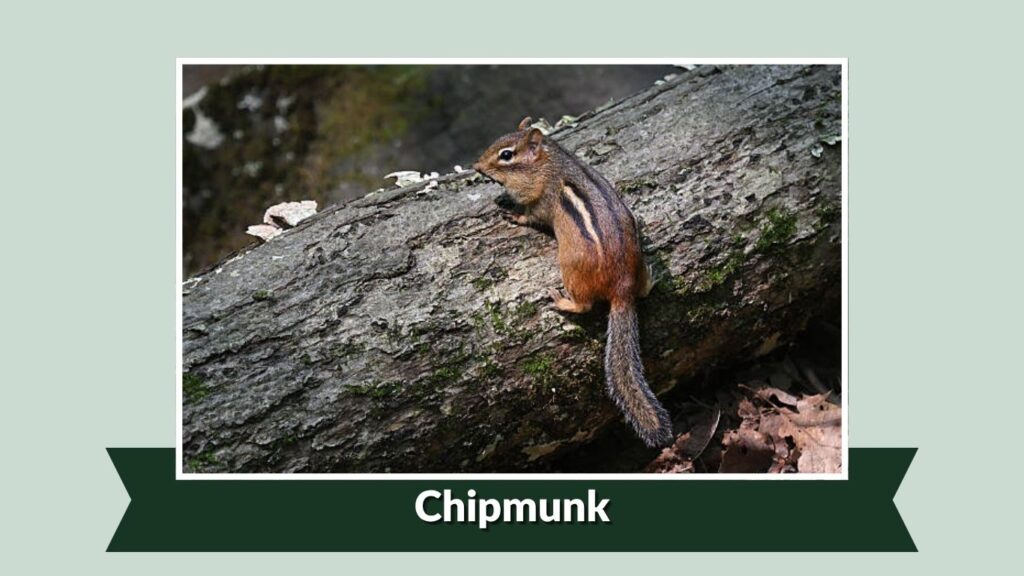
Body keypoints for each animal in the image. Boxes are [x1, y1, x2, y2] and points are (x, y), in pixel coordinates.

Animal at [473, 117, 674, 448]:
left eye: (506, 155)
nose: (476, 166)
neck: (550, 162)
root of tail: (622, 290)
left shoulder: (541, 201)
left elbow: (530, 216)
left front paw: (513, 214)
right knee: (643, 290)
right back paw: (651, 277)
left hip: (570, 270)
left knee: (584, 305)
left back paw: (560, 301)